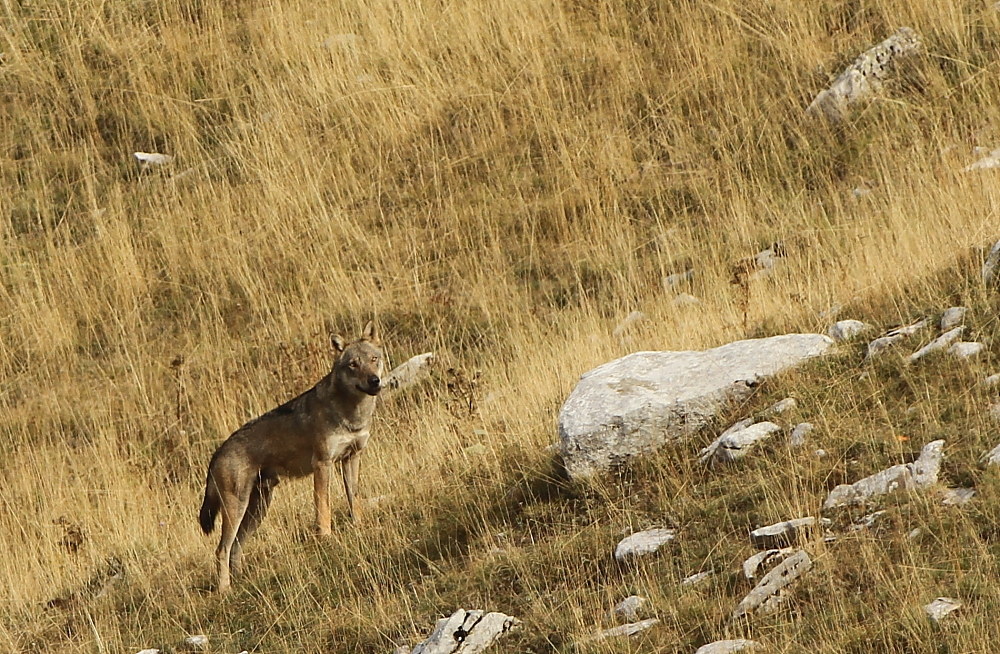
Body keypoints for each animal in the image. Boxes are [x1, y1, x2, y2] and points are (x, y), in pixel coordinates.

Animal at [198, 321, 384, 592]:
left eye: (373, 359)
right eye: (353, 364)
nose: (374, 381)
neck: (351, 415)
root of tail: (216, 453)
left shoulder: (352, 458)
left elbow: (354, 499)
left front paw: (358, 526)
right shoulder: (323, 464)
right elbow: (323, 508)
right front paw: (326, 539)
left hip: (258, 509)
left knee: (236, 547)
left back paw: (241, 581)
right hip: (237, 508)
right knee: (222, 549)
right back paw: (225, 590)